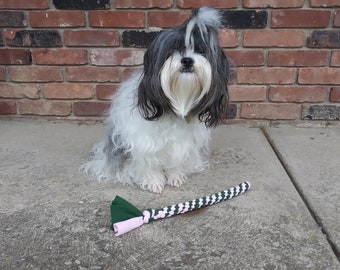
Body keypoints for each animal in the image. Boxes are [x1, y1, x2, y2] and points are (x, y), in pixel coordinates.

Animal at [81, 6, 230, 192]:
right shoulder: (143, 142)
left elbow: (176, 161)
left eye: (201, 51)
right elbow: (148, 163)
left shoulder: (181, 145)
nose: (187, 60)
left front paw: (175, 177)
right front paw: (154, 182)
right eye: (172, 51)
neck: (176, 105)